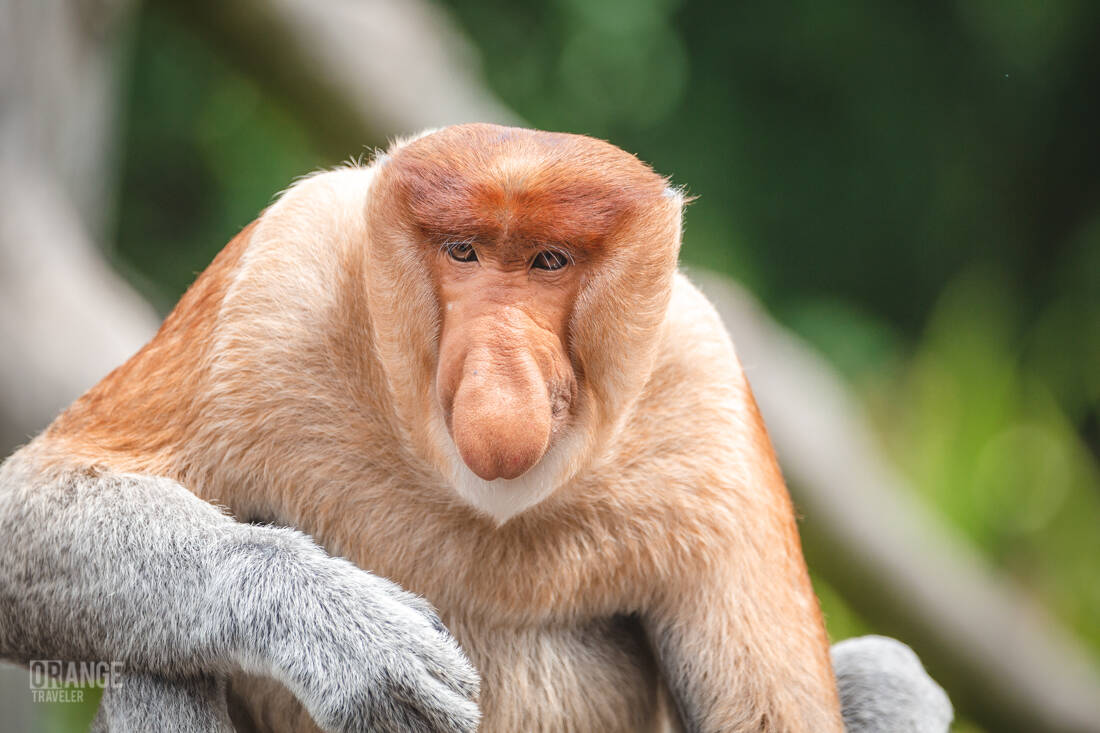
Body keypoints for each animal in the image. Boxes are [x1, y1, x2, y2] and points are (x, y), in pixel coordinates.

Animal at [0, 124, 947, 732]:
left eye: (548, 262)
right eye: (464, 252)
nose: (501, 368)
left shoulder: (704, 395)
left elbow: (770, 713)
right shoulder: (277, 279)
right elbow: (34, 500)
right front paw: (367, 644)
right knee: (157, 658)